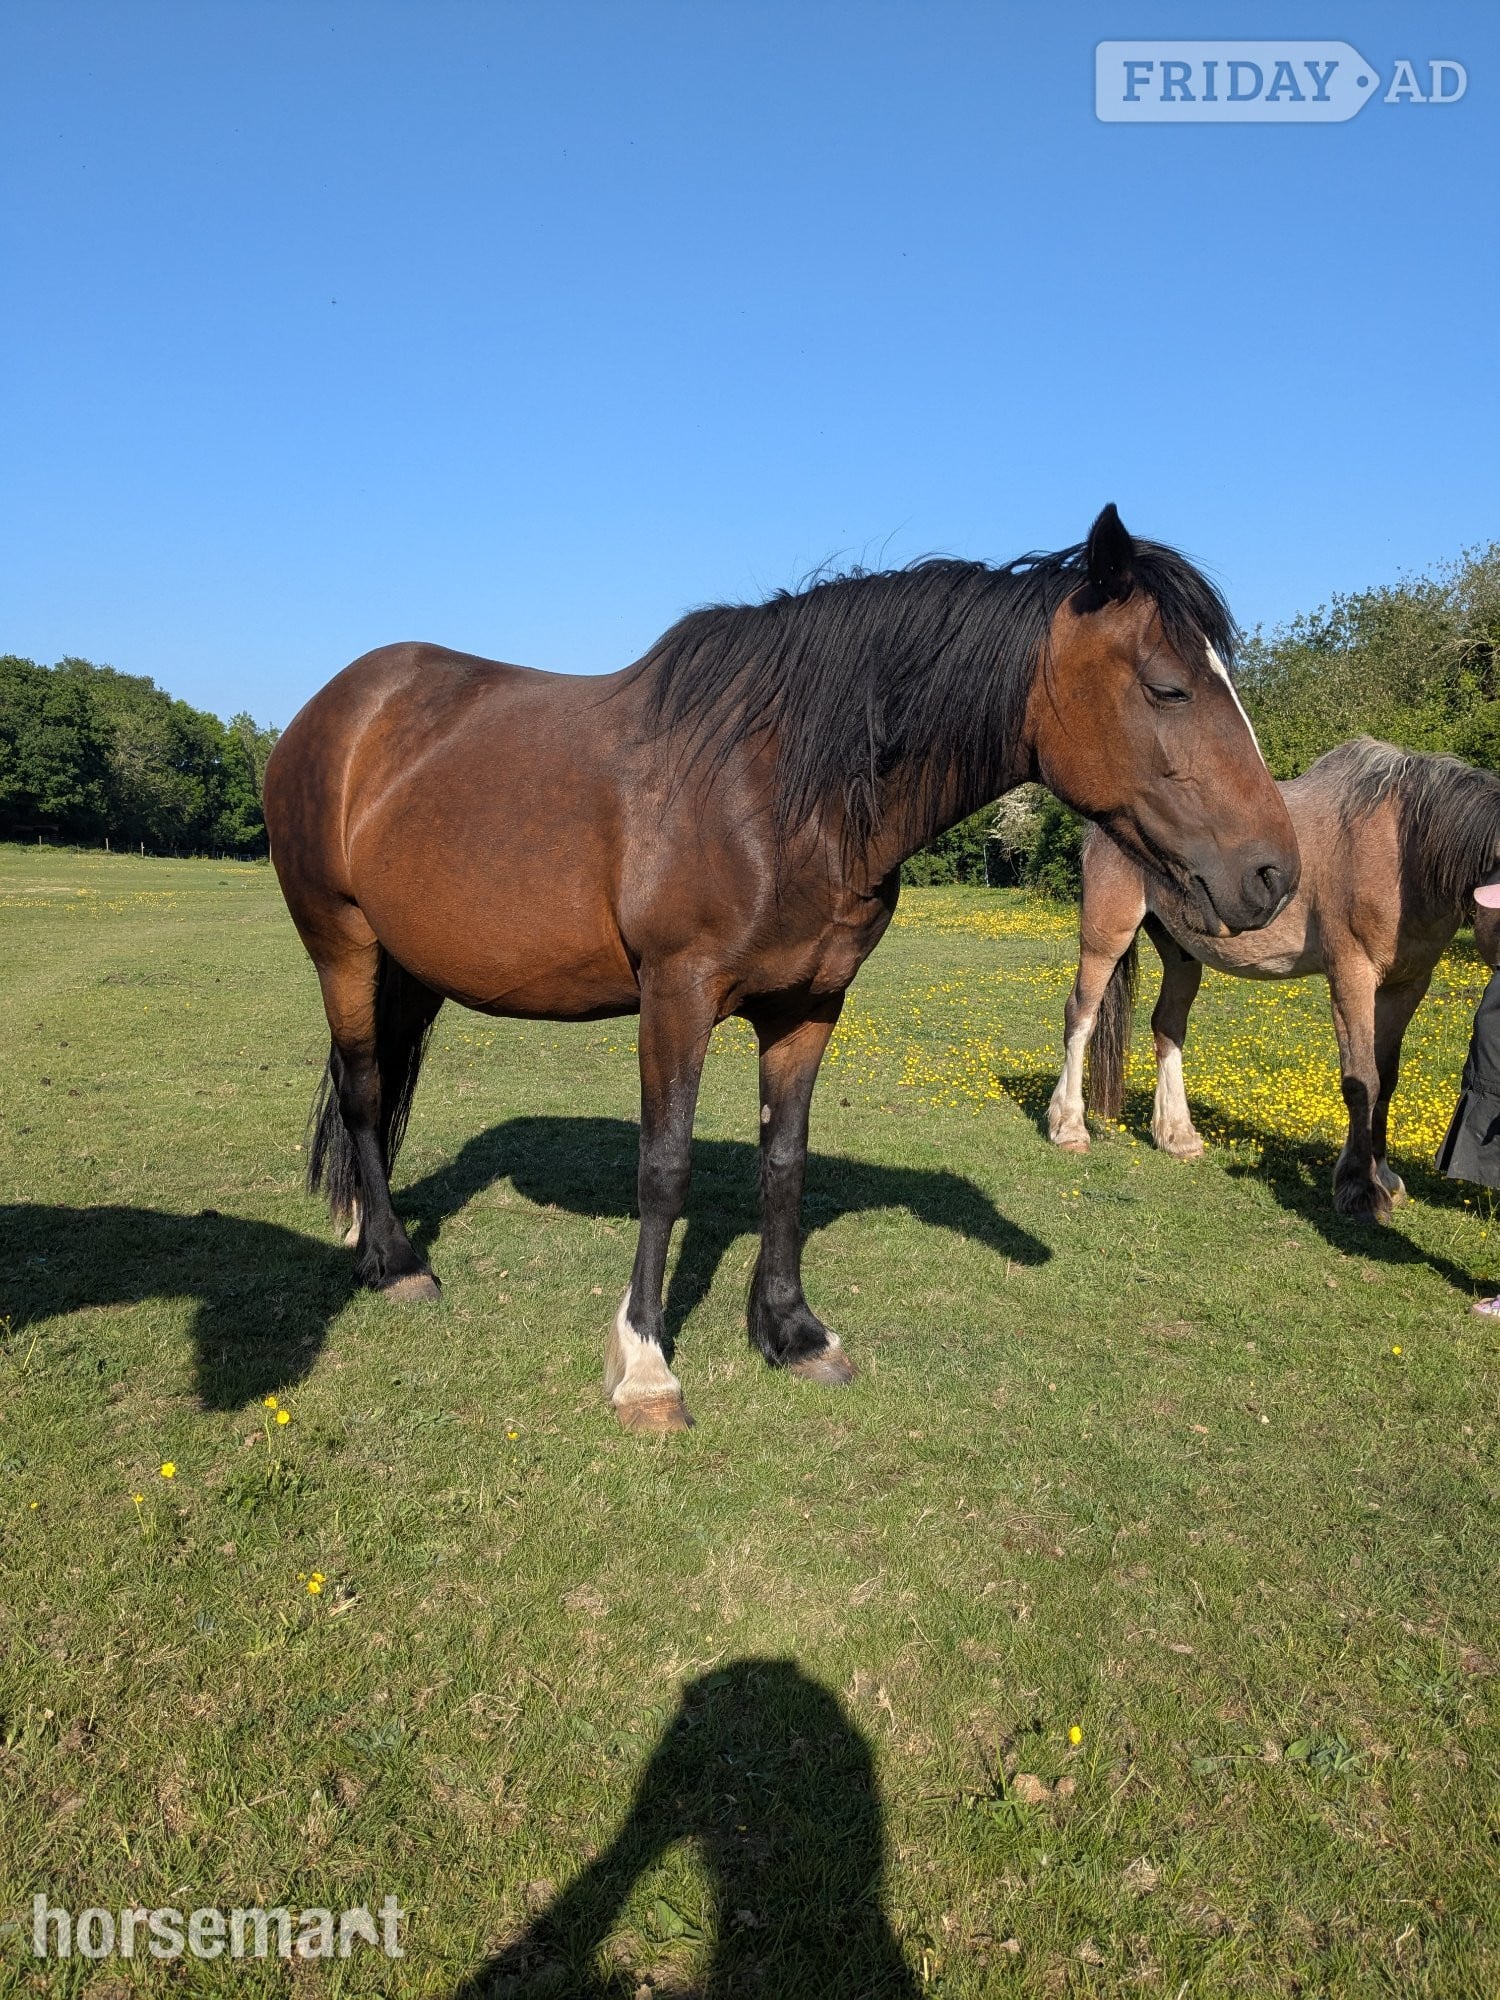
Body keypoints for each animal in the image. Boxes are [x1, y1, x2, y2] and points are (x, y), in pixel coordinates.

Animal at [263, 504, 1297, 1433]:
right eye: (1167, 687)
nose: (1273, 874)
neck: (775, 793)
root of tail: (336, 710)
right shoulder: (675, 998)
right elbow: (666, 1169)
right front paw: (645, 1368)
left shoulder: (808, 1007)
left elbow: (784, 1163)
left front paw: (791, 1332)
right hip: (341, 945)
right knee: (363, 1090)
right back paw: (395, 1262)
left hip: (404, 962)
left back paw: (363, 1228)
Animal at [1048, 735, 1500, 1221]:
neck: (1401, 850)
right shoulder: (1352, 975)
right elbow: (1362, 1080)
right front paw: (1359, 1187)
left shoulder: (1407, 984)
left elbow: (1386, 1078)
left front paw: (1383, 1175)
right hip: (1106, 936)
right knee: (1081, 1016)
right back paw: (1068, 1127)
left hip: (1181, 952)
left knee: (1167, 1027)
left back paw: (1177, 1135)